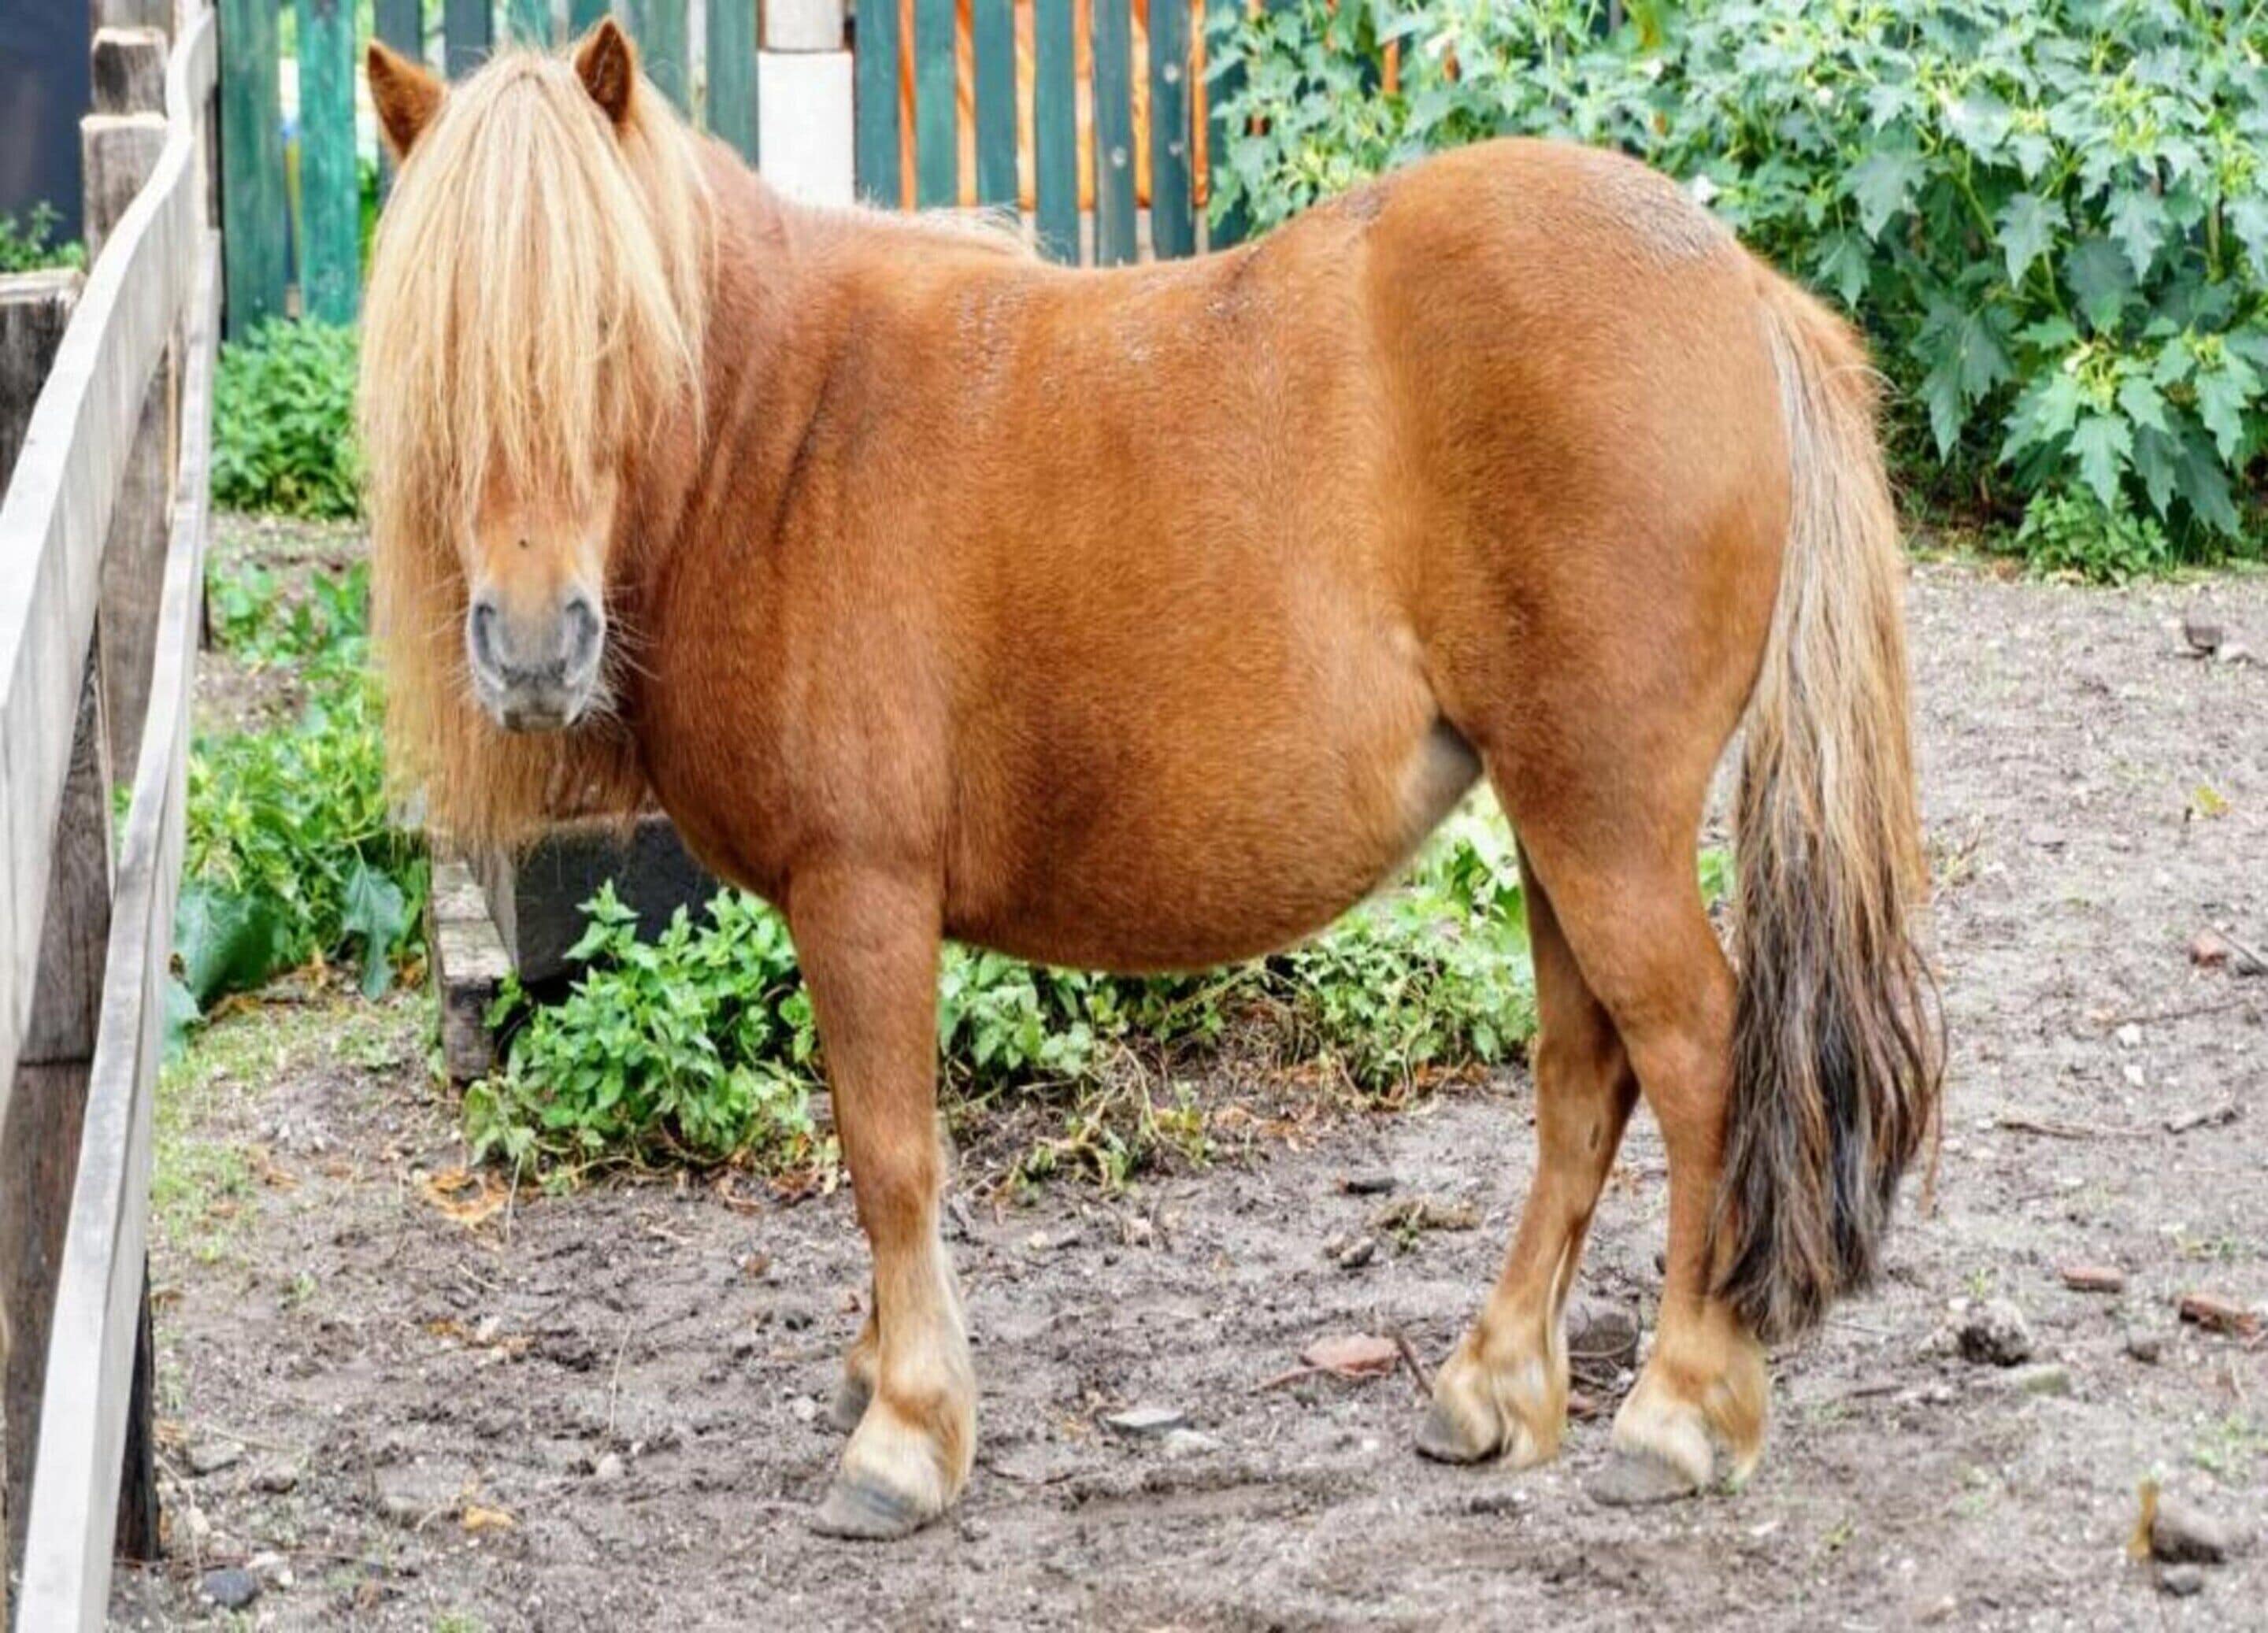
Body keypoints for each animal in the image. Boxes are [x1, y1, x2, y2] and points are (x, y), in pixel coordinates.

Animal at [359, 20, 1940, 1538]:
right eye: (438, 356)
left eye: (607, 330)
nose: (533, 642)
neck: (779, 428)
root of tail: (1742, 287)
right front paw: (879, 1370)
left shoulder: (861, 891)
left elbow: (889, 1149)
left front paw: (907, 1428)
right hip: (1560, 824)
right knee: (1583, 1075)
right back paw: (1495, 1383)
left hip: (1601, 820)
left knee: (1698, 1059)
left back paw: (1678, 1405)